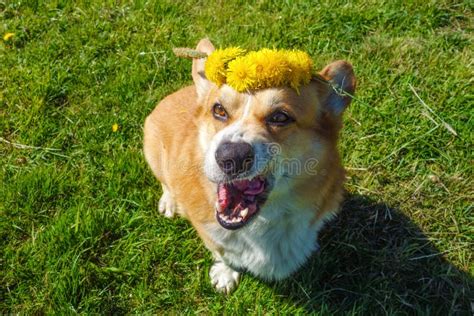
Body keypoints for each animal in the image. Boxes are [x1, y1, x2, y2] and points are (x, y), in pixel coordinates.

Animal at [144, 39, 356, 294]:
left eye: (280, 117)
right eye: (219, 110)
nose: (231, 157)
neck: (263, 222)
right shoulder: (211, 233)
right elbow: (223, 252)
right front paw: (225, 274)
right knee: (165, 182)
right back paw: (169, 201)